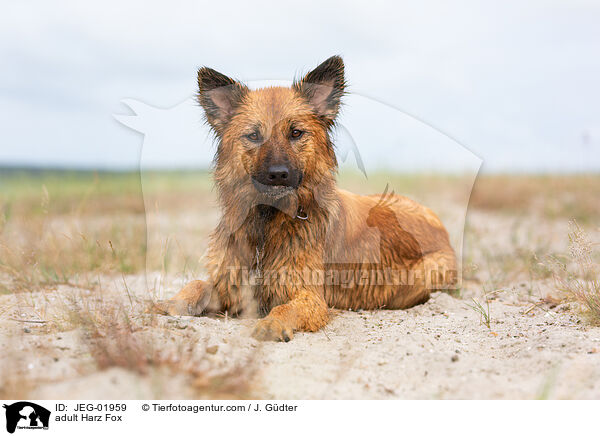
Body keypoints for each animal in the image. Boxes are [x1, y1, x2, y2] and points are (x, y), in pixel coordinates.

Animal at [155, 55, 454, 340]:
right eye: (254, 135)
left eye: (296, 133)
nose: (278, 174)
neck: (268, 224)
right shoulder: (230, 284)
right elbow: (197, 284)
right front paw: (170, 303)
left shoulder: (310, 296)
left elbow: (284, 307)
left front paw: (272, 323)